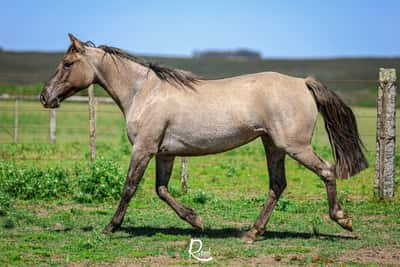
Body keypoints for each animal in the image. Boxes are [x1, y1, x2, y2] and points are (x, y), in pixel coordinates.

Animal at [39, 33, 368, 243]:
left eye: (67, 64)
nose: (45, 97)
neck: (143, 92)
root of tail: (303, 82)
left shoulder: (143, 149)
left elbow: (130, 187)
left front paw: (111, 227)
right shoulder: (165, 153)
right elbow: (161, 189)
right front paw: (195, 220)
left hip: (295, 146)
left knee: (326, 170)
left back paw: (343, 219)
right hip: (273, 145)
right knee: (277, 185)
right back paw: (252, 233)